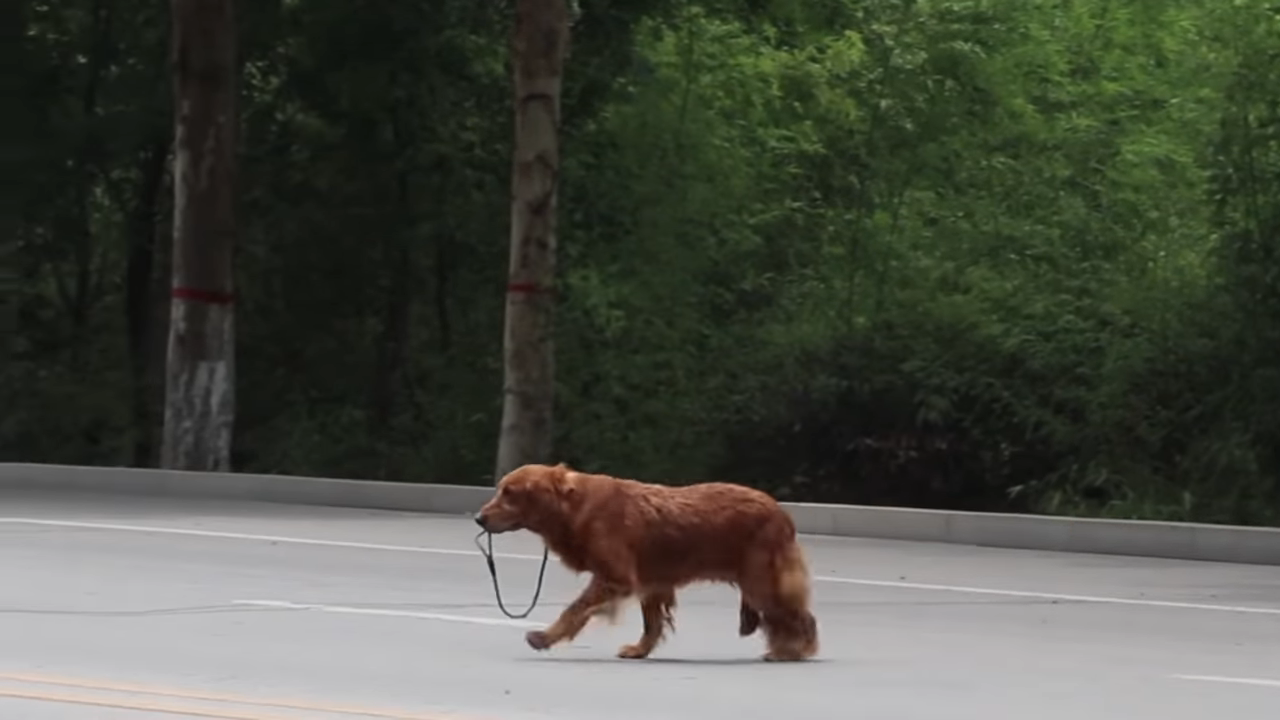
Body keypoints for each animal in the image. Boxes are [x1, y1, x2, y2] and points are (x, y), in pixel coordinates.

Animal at [473, 461, 819, 661]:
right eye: (500, 490)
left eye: (509, 493)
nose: (478, 518)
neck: (575, 506)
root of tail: (781, 512)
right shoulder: (650, 581)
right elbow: (651, 622)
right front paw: (640, 650)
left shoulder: (616, 576)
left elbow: (574, 609)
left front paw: (544, 637)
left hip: (763, 580)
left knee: (801, 618)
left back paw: (795, 651)